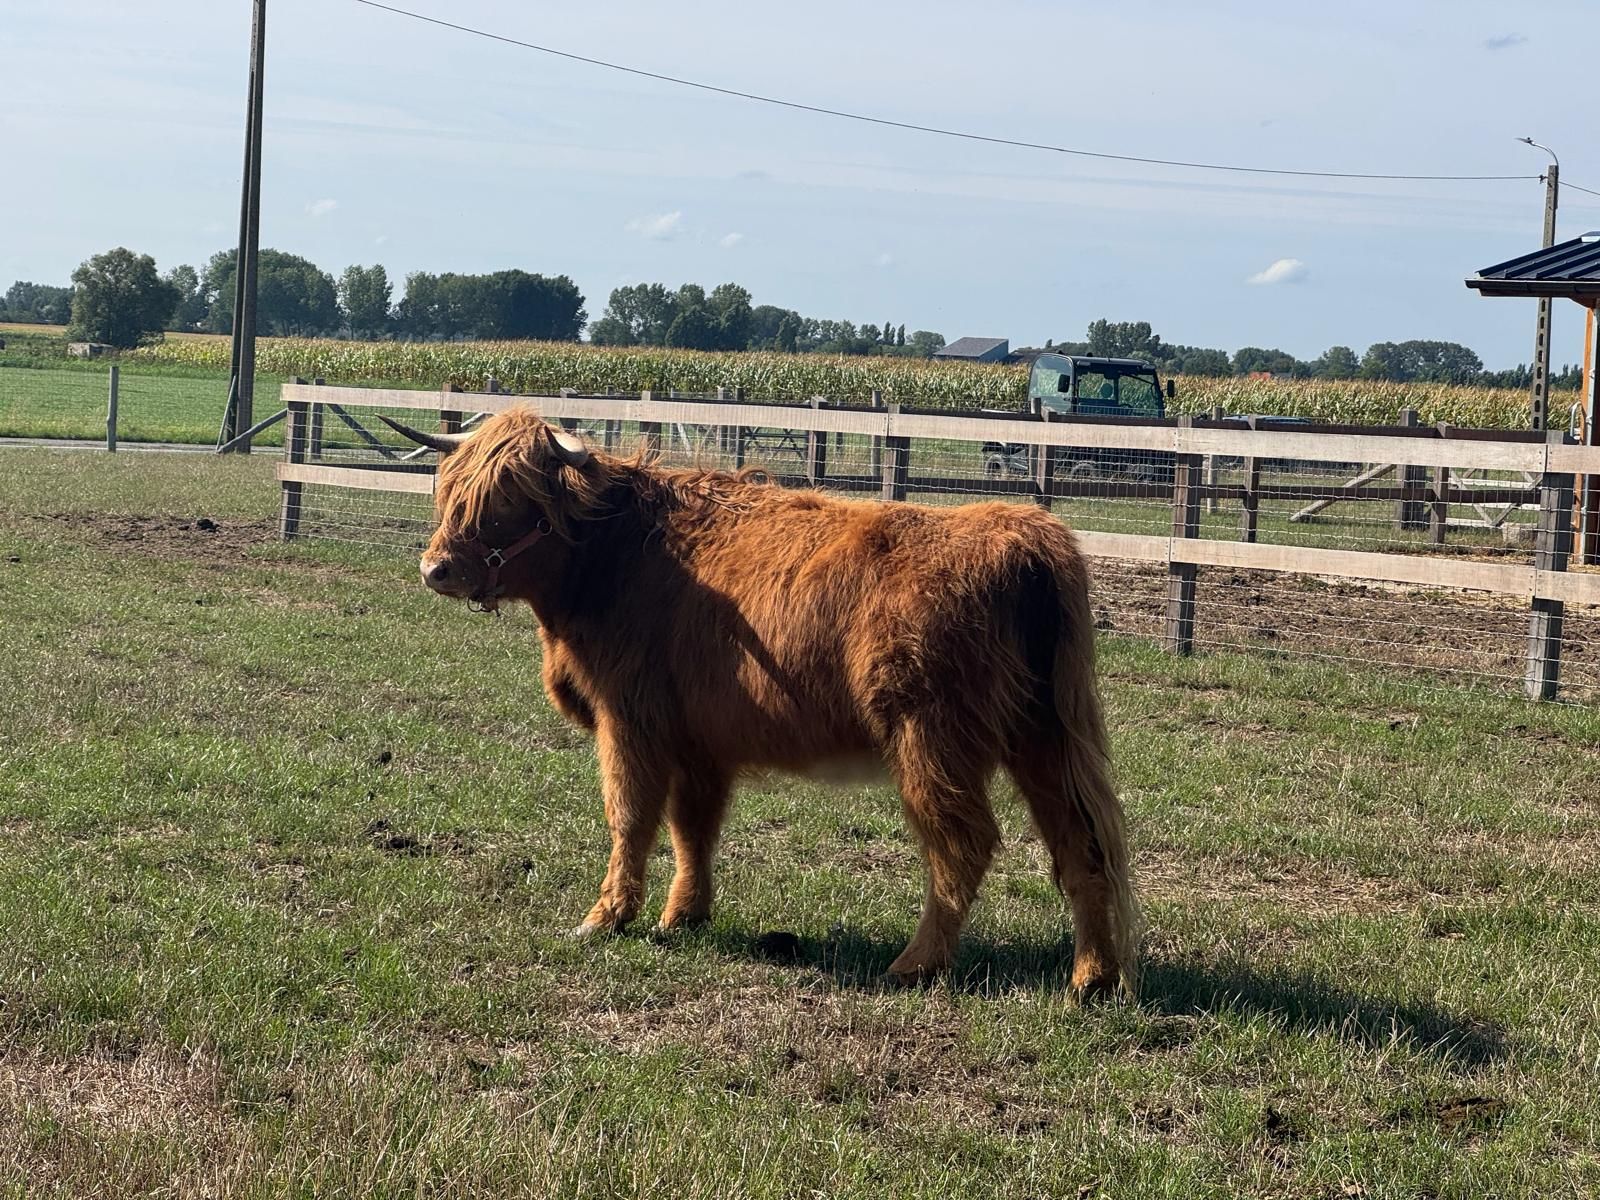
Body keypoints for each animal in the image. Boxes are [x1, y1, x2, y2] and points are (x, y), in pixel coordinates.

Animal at [383, 406, 1138, 997]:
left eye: (510, 498)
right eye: (453, 491)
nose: (435, 569)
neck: (618, 556)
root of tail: (1023, 533)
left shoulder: (630, 720)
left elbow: (629, 816)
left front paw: (605, 918)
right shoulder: (699, 738)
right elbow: (693, 828)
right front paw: (683, 915)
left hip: (931, 737)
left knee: (962, 844)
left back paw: (915, 964)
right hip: (1042, 737)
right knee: (1080, 845)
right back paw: (1091, 978)